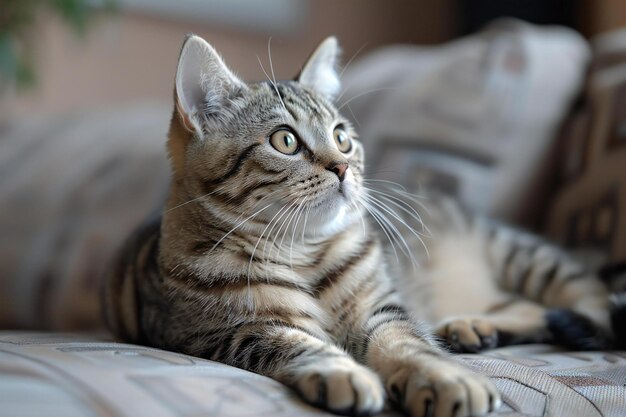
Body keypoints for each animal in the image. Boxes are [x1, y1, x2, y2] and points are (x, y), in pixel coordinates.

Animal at [102, 35, 616, 416]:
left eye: (342, 137)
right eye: (285, 140)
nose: (342, 167)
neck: (302, 252)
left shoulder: (380, 308)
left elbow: (406, 343)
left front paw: (443, 375)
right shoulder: (225, 332)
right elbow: (296, 342)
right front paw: (343, 372)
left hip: (525, 256)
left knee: (594, 309)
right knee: (536, 310)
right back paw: (473, 326)